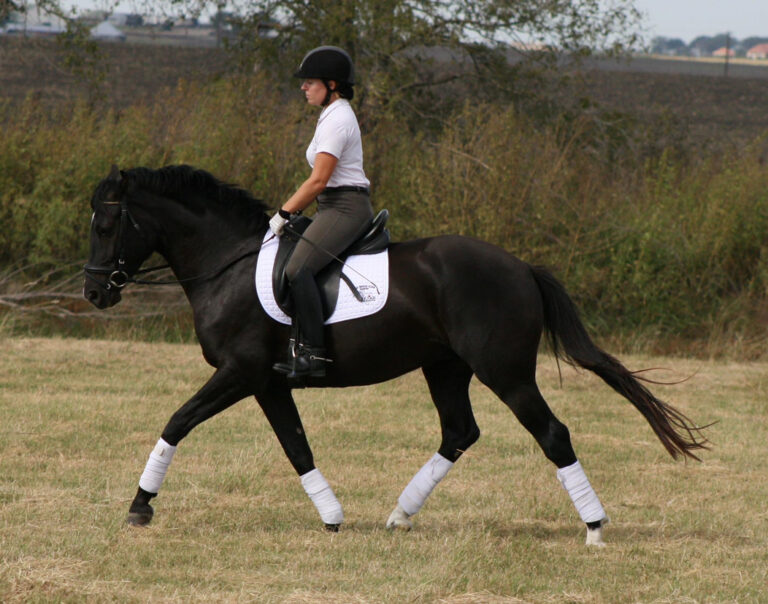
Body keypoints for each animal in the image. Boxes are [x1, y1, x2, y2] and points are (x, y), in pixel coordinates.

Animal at [83, 164, 708, 546]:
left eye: (108, 223)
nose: (94, 293)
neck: (227, 263)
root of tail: (522, 268)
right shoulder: (269, 382)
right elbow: (296, 445)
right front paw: (332, 517)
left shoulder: (244, 373)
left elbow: (179, 422)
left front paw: (140, 506)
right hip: (446, 367)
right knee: (459, 431)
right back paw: (401, 514)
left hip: (504, 372)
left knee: (551, 433)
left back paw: (595, 527)